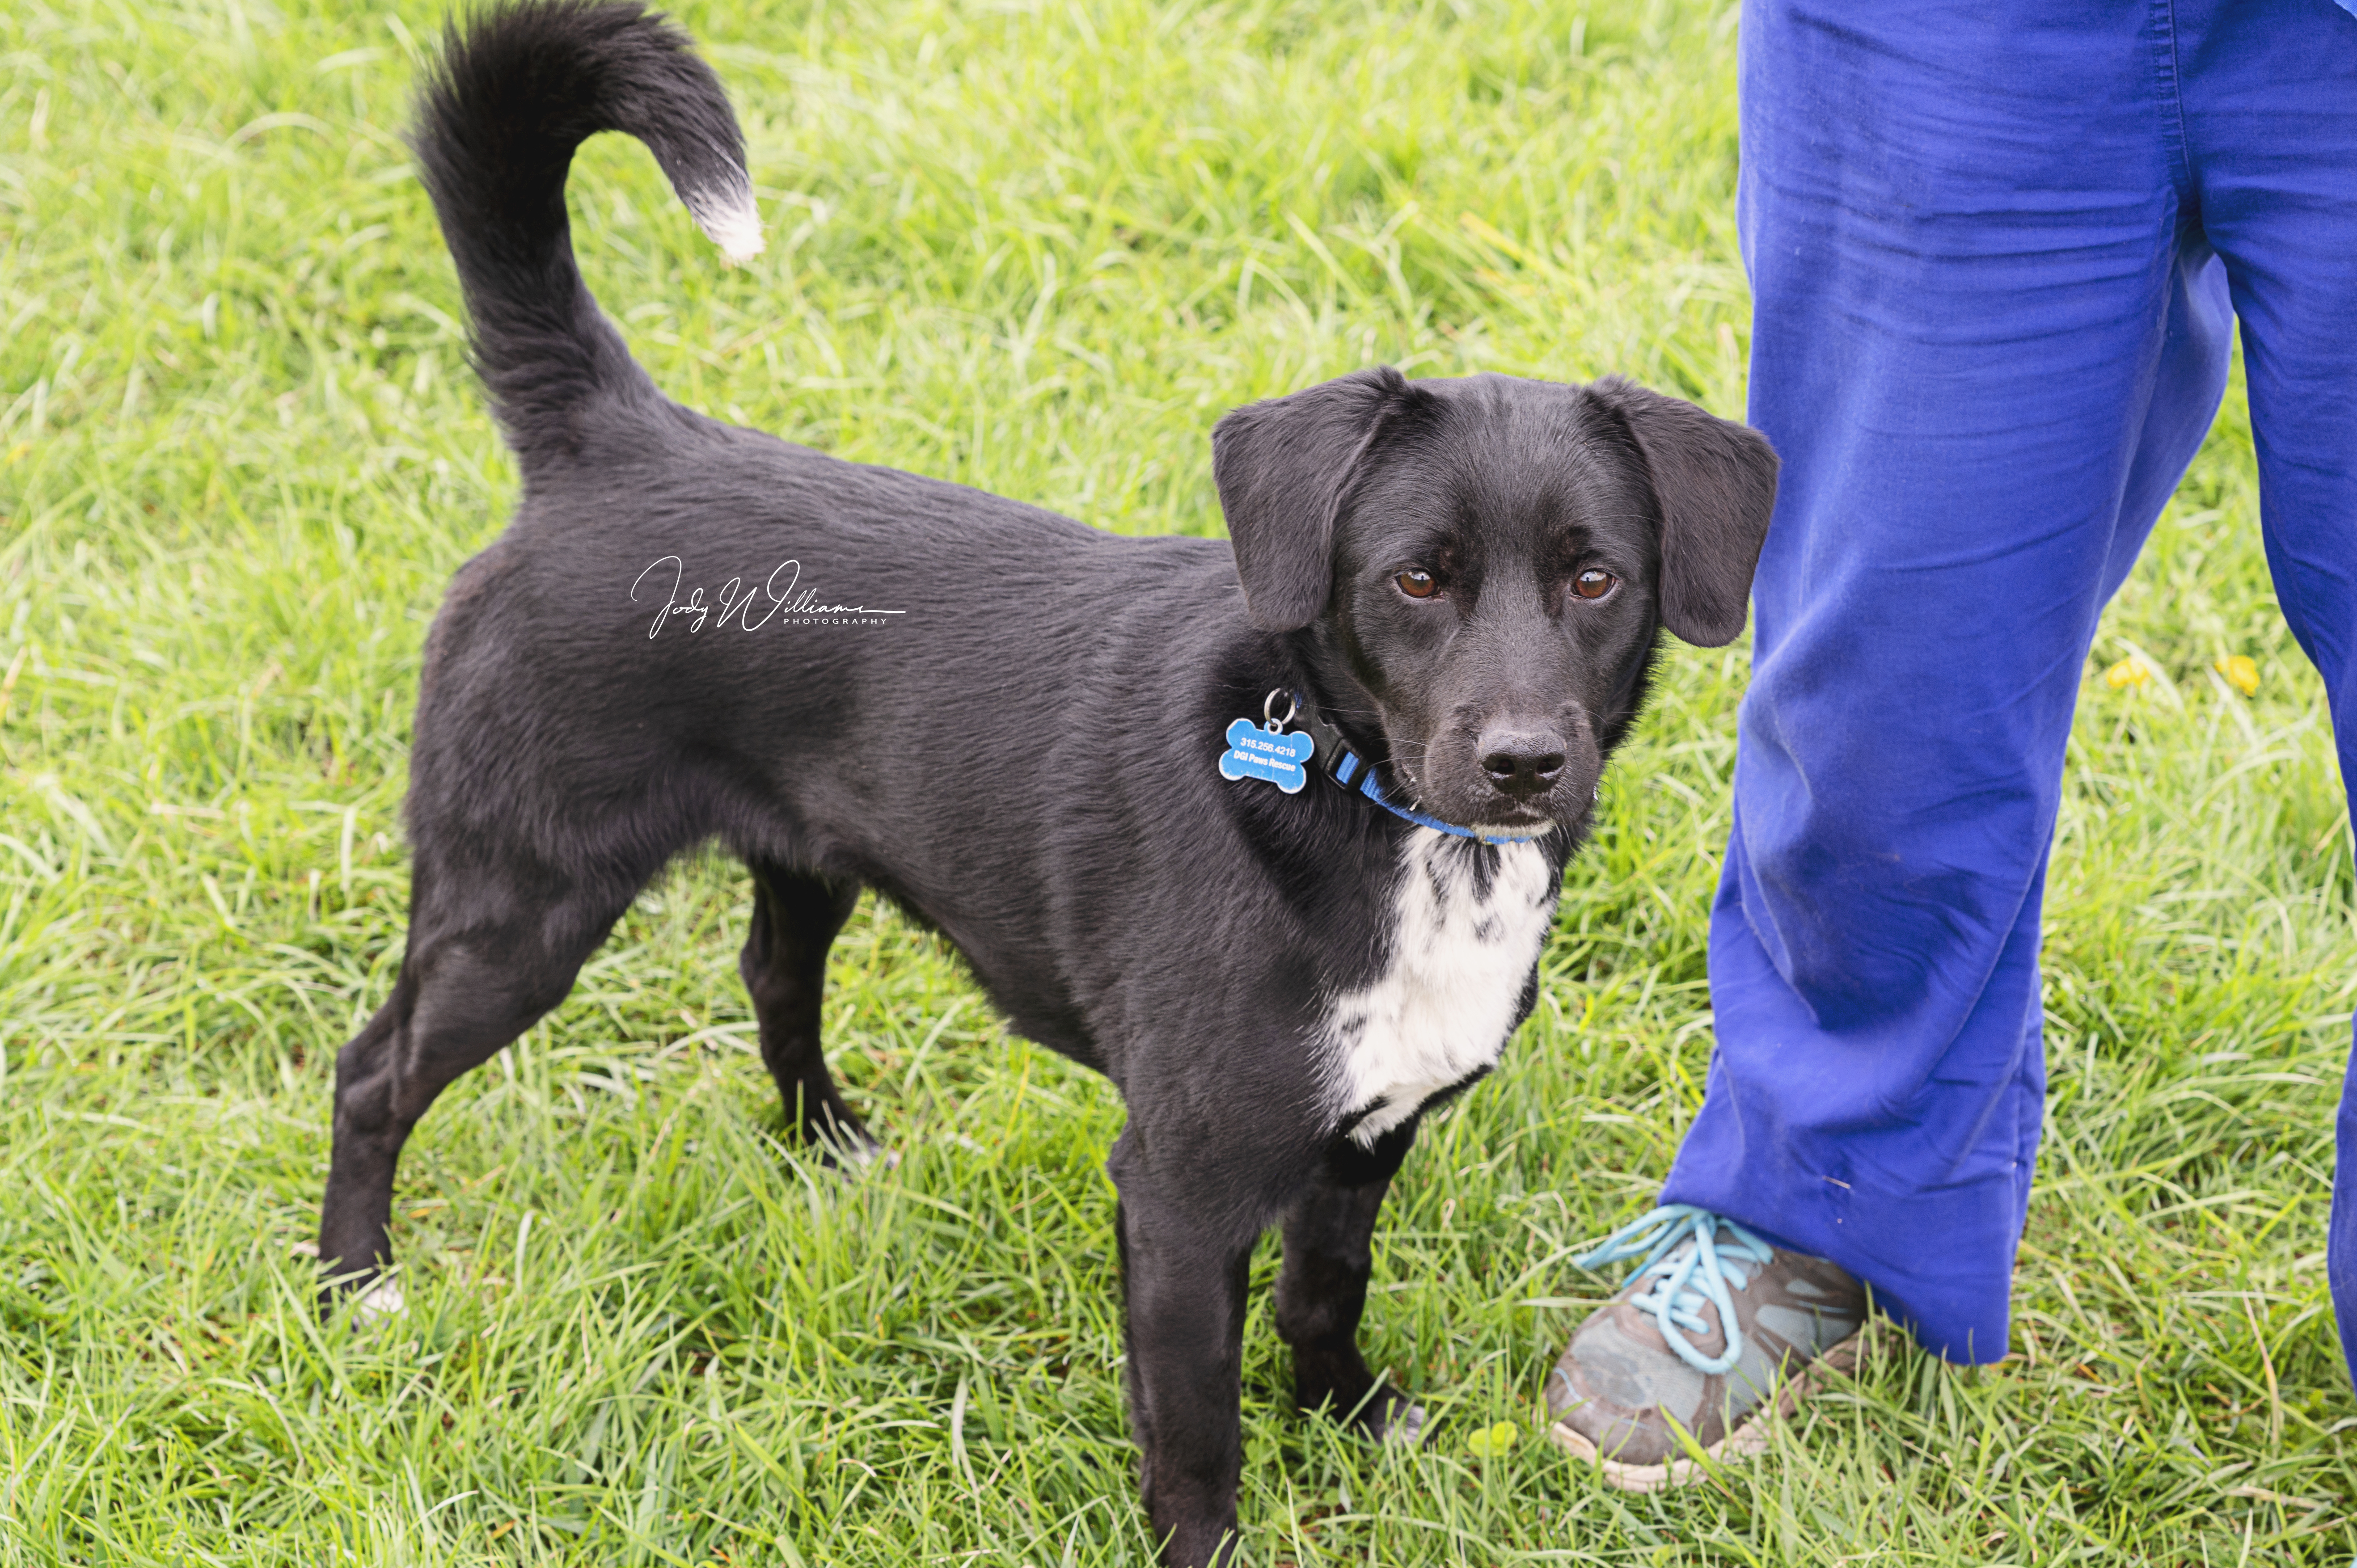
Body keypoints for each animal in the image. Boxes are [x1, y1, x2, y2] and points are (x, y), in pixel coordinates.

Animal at [318, 6, 1772, 1556]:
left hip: (803, 853)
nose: (1521, 761)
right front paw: (1213, 1532)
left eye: (1594, 577)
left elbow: (1325, 1296)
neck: (1367, 809)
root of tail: (611, 437)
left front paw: (1347, 1417)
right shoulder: (1180, 1188)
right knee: (371, 1073)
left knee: (773, 973)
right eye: (1416, 578)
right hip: (519, 899)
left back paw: (827, 1144)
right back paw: (357, 1282)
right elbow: (1193, 1428)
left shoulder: (1361, 1137)